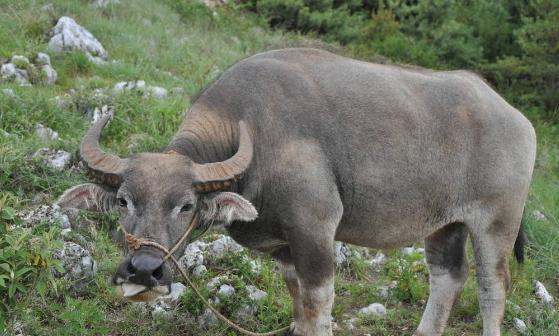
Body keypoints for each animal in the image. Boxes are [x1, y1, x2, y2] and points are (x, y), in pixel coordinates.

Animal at [58, 48, 540, 336]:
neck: (254, 135)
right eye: (124, 201)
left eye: (186, 205)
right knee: (448, 276)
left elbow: (317, 306)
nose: (144, 270)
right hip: (445, 224)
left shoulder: (315, 230)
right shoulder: (284, 247)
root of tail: (518, 119)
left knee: (492, 287)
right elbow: (298, 308)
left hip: (496, 222)